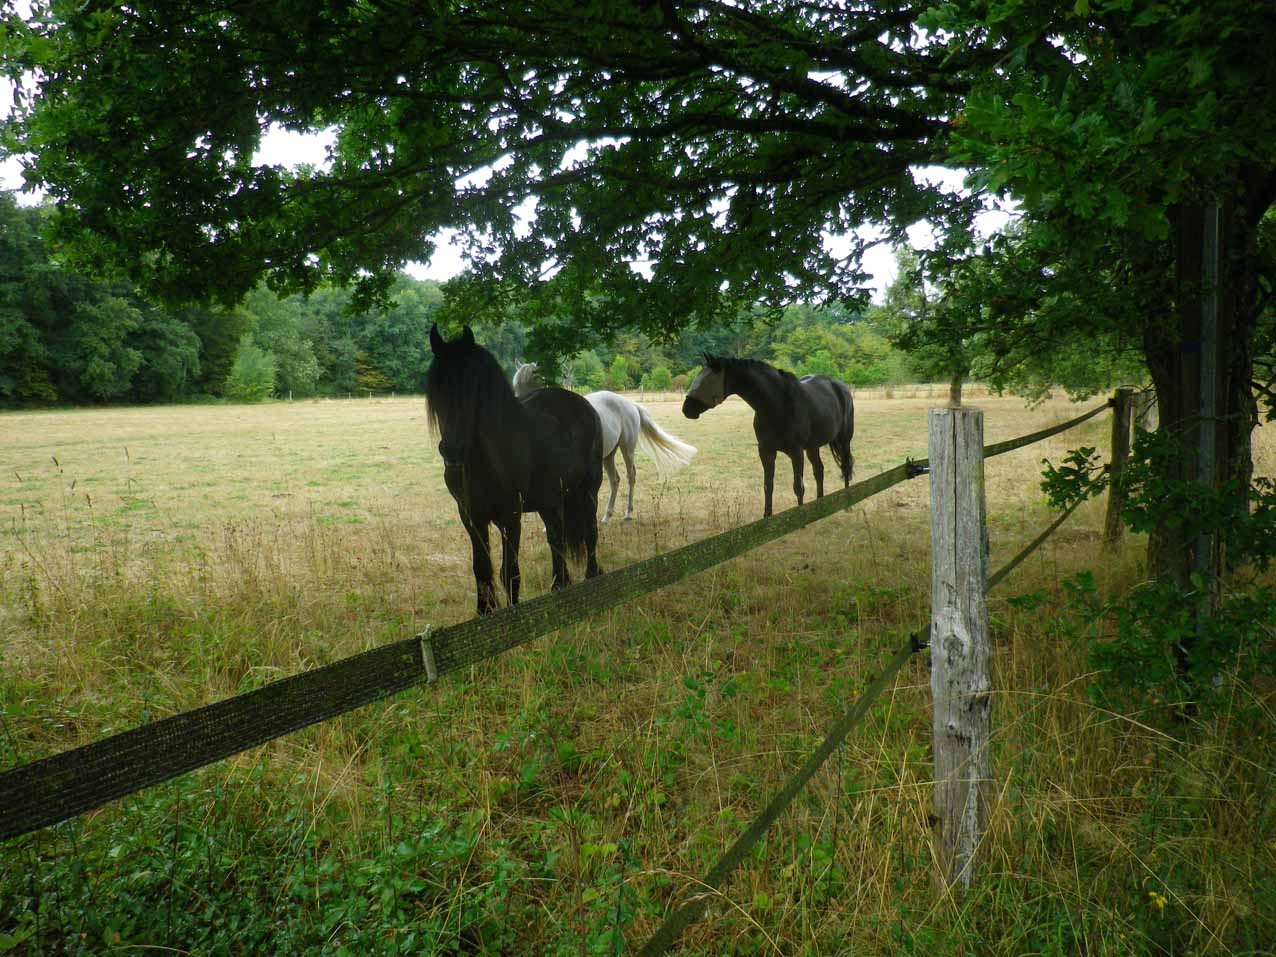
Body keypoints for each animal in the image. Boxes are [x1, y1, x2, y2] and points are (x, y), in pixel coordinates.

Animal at [423, 326, 602, 617]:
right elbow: (481, 569)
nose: (452, 451)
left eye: (473, 385)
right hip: (551, 501)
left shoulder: (511, 514)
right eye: (435, 386)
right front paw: (484, 611)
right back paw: (559, 588)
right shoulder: (471, 516)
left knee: (590, 535)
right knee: (557, 539)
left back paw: (592, 579)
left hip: (588, 491)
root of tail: (585, 407)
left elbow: (510, 570)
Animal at [512, 362, 699, 525]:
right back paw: (606, 517)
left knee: (631, 476)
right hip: (608, 455)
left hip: (627, 448)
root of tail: (629, 403)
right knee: (614, 480)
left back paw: (628, 513)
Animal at [683, 354, 852, 518]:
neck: (777, 404)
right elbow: (768, 485)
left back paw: (847, 504)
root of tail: (841, 386)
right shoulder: (766, 451)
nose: (686, 409)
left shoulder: (796, 452)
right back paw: (820, 506)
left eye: (706, 380)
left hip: (843, 441)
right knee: (819, 471)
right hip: (812, 447)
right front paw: (767, 517)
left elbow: (798, 487)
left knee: (845, 467)